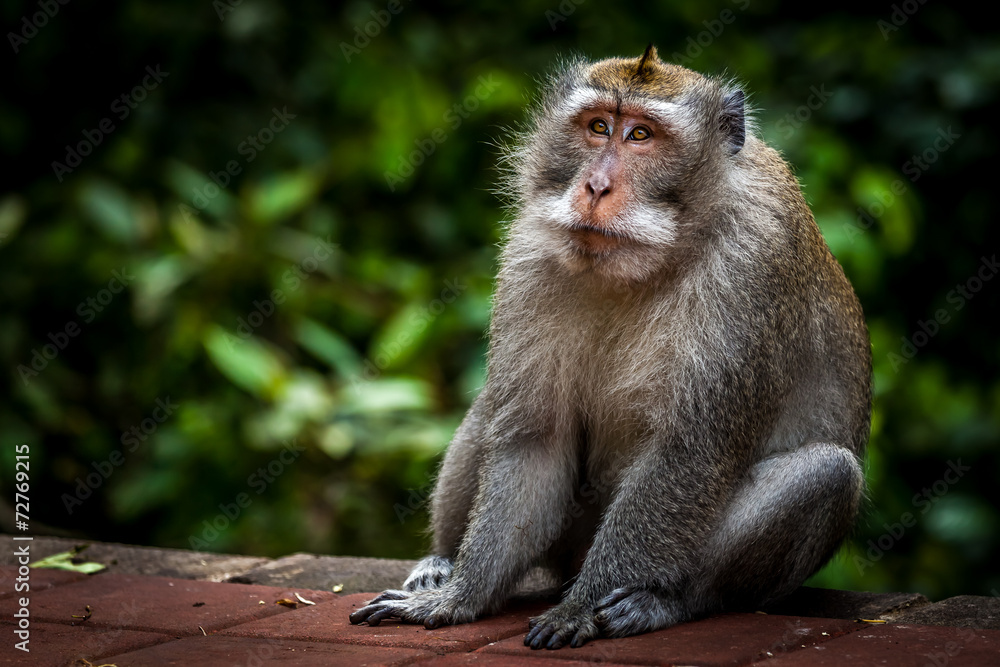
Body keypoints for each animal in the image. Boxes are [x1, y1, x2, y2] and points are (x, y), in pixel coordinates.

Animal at [349, 45, 871, 650]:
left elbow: (688, 453)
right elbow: (535, 437)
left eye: (641, 135)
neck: (659, 253)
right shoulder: (530, 248)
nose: (595, 187)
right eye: (598, 126)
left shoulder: (755, 263)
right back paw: (439, 563)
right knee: (494, 407)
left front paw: (579, 608)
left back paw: (667, 601)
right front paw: (458, 598)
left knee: (827, 472)